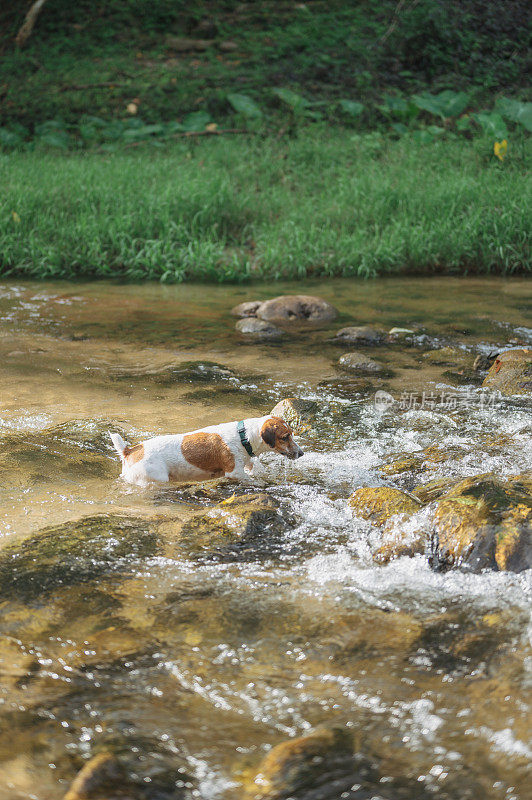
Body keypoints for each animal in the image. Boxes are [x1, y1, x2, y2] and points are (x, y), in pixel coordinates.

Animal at [108, 416, 304, 484]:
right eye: (285, 437)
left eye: (292, 434)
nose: (302, 453)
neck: (244, 437)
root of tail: (130, 451)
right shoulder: (234, 472)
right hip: (156, 478)